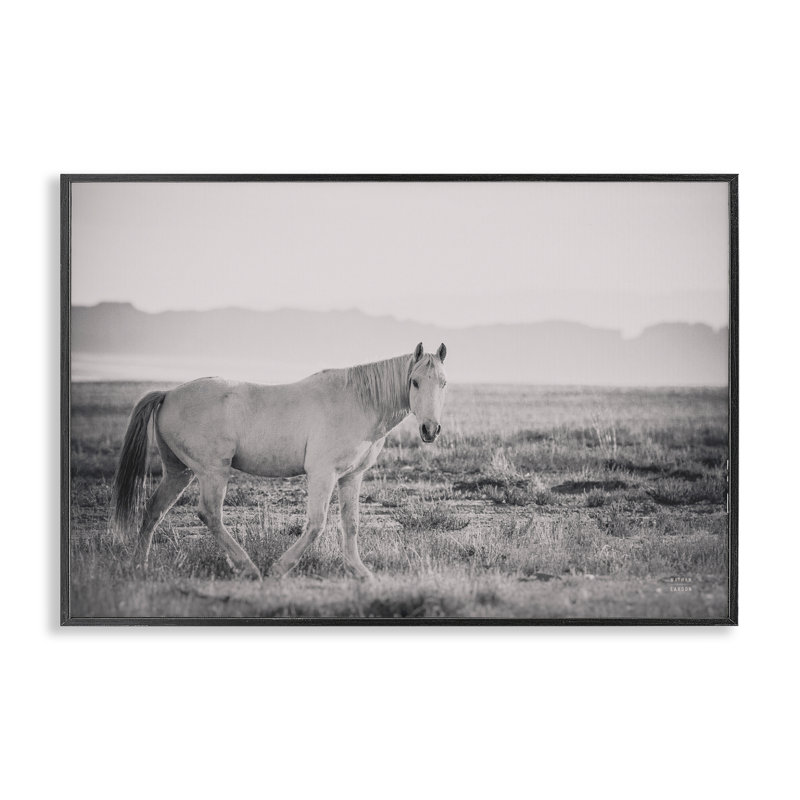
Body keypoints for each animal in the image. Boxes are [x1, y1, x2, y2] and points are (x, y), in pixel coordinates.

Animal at [111, 342, 448, 580]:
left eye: (443, 382)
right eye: (415, 382)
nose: (430, 429)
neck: (358, 401)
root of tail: (168, 394)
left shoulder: (350, 477)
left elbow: (350, 524)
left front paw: (360, 572)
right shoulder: (322, 474)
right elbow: (316, 524)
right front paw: (279, 568)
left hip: (178, 473)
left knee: (154, 510)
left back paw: (139, 566)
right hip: (212, 472)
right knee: (209, 514)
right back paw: (248, 567)